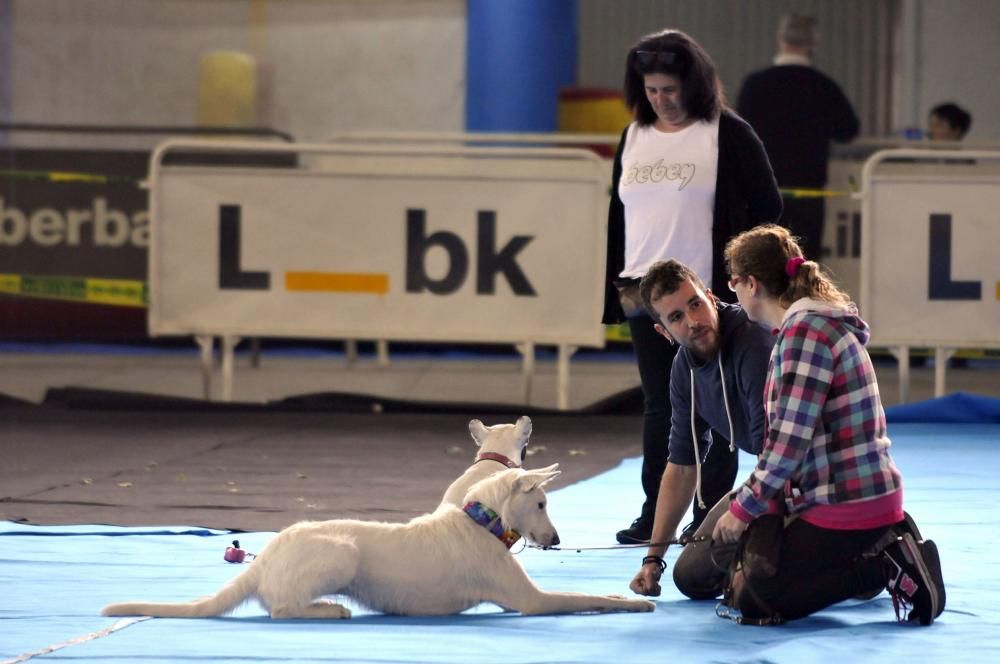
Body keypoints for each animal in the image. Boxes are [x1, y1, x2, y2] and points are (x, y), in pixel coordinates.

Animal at [103, 464, 656, 620]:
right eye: (541, 504)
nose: (557, 539)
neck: (479, 521)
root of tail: (265, 558)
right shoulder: (531, 601)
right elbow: (586, 598)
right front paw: (631, 602)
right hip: (340, 552)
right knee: (279, 608)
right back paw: (328, 610)